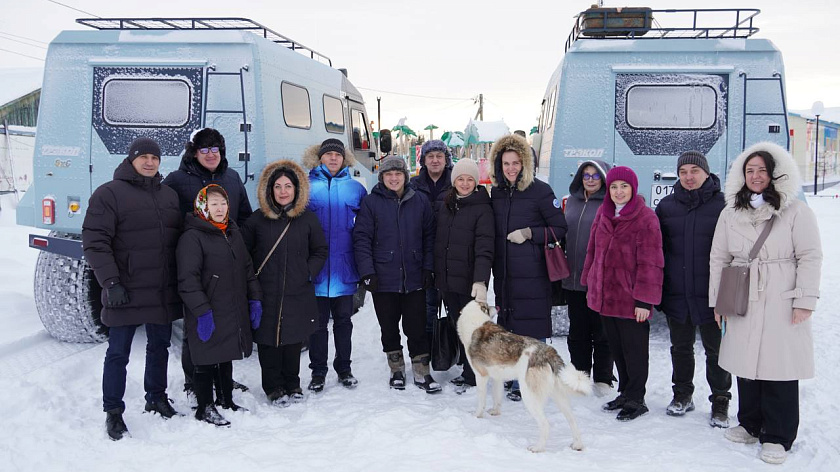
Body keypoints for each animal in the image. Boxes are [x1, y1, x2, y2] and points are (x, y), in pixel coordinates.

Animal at [460, 300, 592, 452]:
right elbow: (497, 397)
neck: (476, 321)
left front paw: (476, 416)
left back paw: (537, 447)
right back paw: (577, 445)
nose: (497, 307)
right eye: (487, 306)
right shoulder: (497, 378)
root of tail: (547, 352)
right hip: (559, 397)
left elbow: (481, 401)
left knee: (545, 424)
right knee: (572, 420)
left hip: (529, 396)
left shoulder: (481, 376)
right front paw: (495, 412)